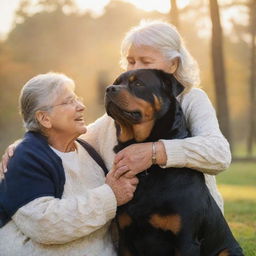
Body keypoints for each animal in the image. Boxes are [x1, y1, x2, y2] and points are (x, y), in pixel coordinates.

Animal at [103, 68, 242, 256]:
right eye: (117, 82)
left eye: (138, 83)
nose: (109, 89)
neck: (149, 172)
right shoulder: (125, 239)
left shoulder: (186, 241)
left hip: (227, 250)